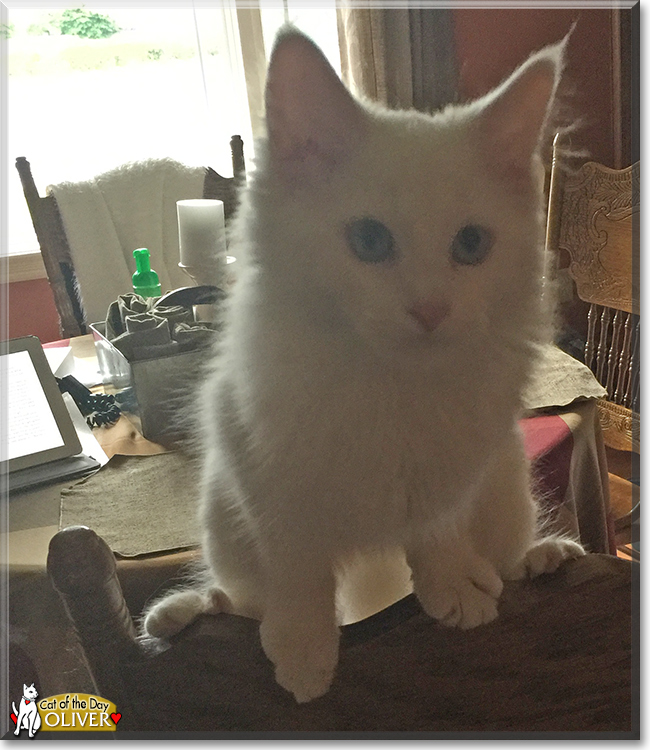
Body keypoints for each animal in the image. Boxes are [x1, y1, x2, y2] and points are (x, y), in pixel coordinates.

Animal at [146, 29, 584, 704]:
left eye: (471, 245)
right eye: (371, 241)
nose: (430, 309)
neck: (390, 380)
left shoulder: (451, 466)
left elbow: (437, 533)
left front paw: (453, 588)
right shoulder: (267, 469)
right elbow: (298, 570)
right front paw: (304, 647)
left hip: (507, 482)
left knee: (504, 553)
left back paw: (538, 558)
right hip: (223, 519)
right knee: (242, 598)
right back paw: (184, 611)